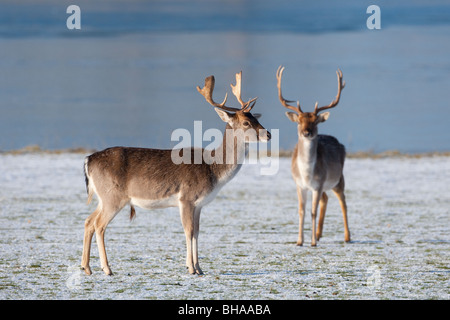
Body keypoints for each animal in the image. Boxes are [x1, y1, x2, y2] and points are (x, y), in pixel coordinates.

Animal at [81, 71, 270, 276]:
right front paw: (191, 268)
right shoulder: (186, 197)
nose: (268, 134)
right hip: (113, 196)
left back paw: (86, 267)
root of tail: (88, 160)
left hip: (103, 197)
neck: (213, 170)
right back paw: (107, 268)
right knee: (99, 225)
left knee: (88, 221)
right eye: (246, 122)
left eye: (257, 119)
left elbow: (197, 232)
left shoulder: (199, 204)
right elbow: (188, 231)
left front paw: (199, 268)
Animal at [274, 64, 352, 245]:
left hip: (338, 179)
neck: (307, 174)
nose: (306, 132)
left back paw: (347, 237)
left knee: (343, 202)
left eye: (315, 121)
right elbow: (302, 211)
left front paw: (312, 243)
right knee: (326, 199)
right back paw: (318, 233)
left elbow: (313, 211)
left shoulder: (318, 184)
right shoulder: (299, 185)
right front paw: (300, 241)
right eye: (299, 121)